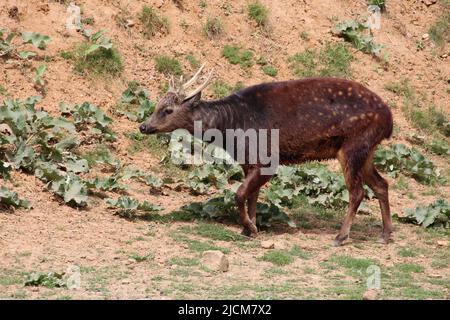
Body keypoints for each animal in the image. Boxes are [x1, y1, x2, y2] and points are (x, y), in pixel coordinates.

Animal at [140, 64, 394, 245]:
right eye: (156, 105)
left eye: (168, 110)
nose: (143, 126)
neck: (231, 127)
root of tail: (389, 120)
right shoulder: (247, 162)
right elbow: (252, 196)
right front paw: (249, 228)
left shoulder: (268, 160)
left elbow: (239, 194)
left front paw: (250, 227)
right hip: (367, 151)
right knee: (382, 184)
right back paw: (385, 235)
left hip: (353, 146)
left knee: (358, 192)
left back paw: (341, 237)